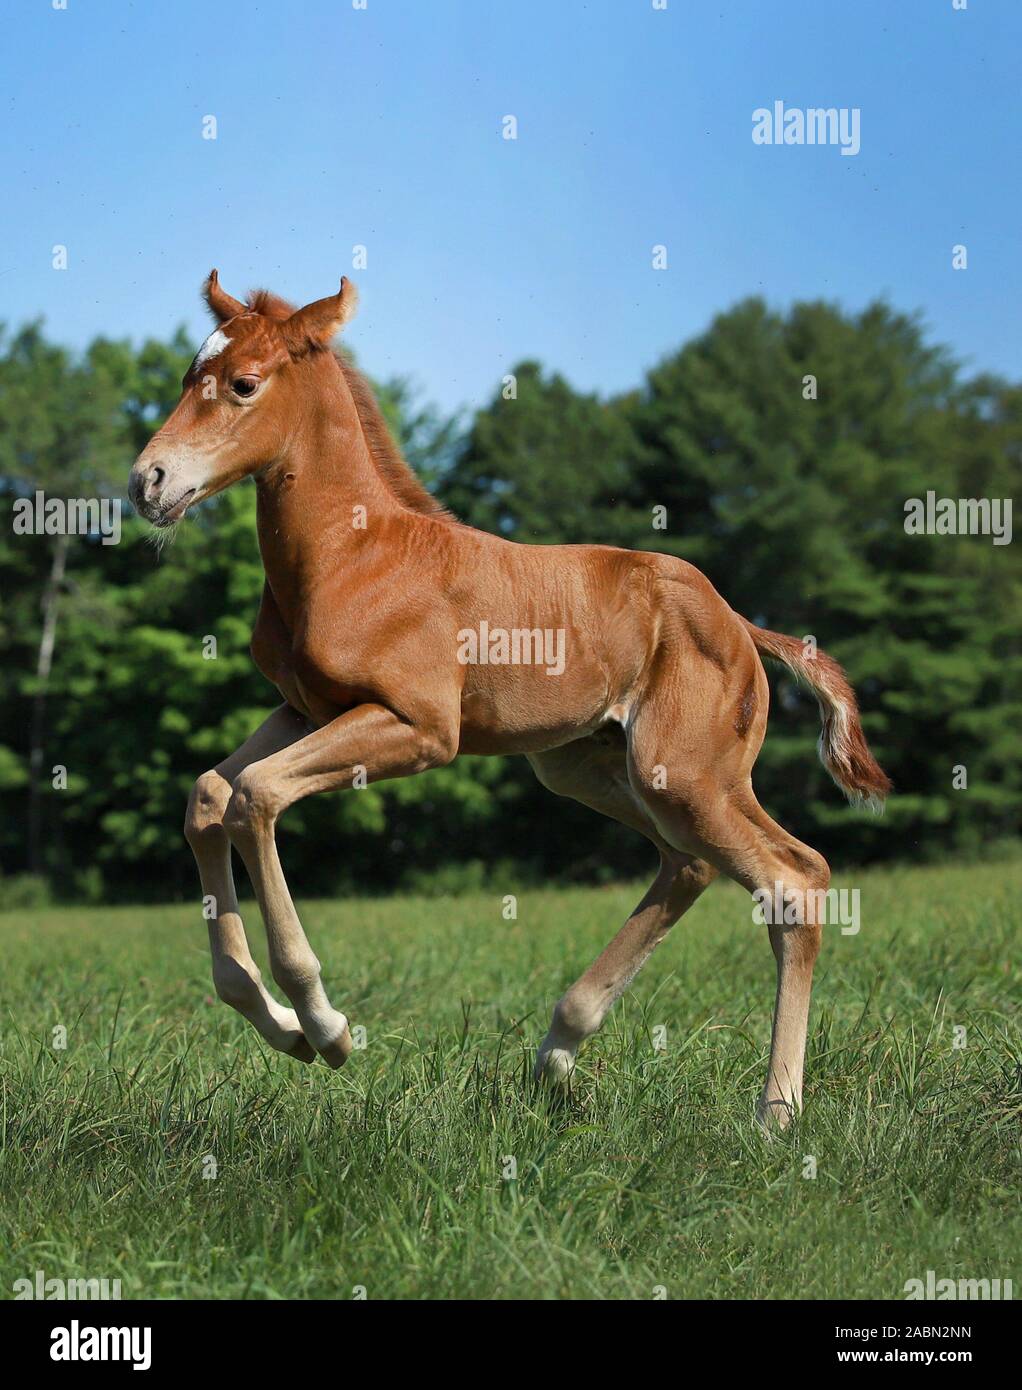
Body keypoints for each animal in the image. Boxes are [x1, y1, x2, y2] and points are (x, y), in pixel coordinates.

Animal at [132, 273, 889, 1128]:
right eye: (187, 376)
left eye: (244, 384)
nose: (148, 482)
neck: (350, 551)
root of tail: (739, 624)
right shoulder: (305, 712)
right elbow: (208, 795)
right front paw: (284, 1028)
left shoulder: (419, 728)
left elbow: (255, 796)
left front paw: (326, 1027)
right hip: (593, 769)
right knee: (692, 865)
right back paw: (558, 1051)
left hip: (687, 776)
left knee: (795, 880)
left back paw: (775, 1113)